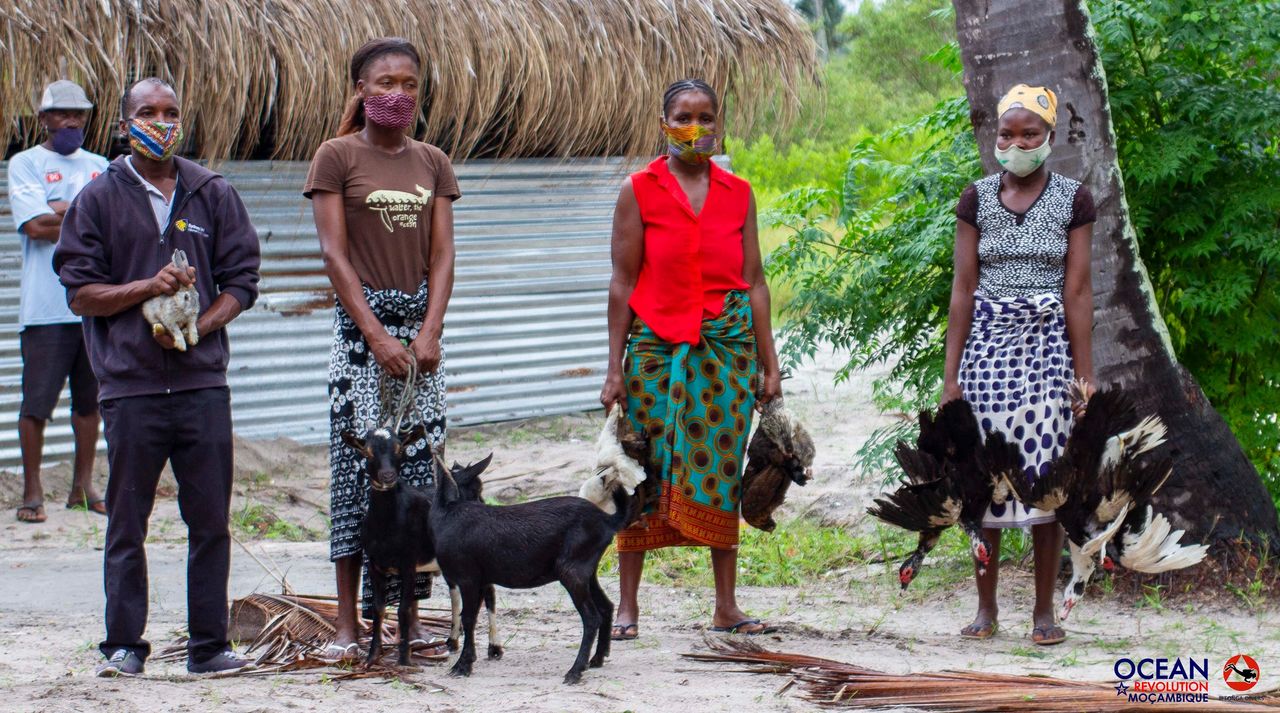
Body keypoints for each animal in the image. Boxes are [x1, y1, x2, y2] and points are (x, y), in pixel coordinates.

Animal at [430, 455, 629, 686]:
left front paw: (462, 665)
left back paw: (575, 671)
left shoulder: (468, 577)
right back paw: (597, 659)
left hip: (572, 570)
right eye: (475, 490)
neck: (448, 515)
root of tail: (607, 520)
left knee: (591, 617)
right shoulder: (481, 579)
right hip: (586, 570)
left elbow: (468, 618)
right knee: (606, 606)